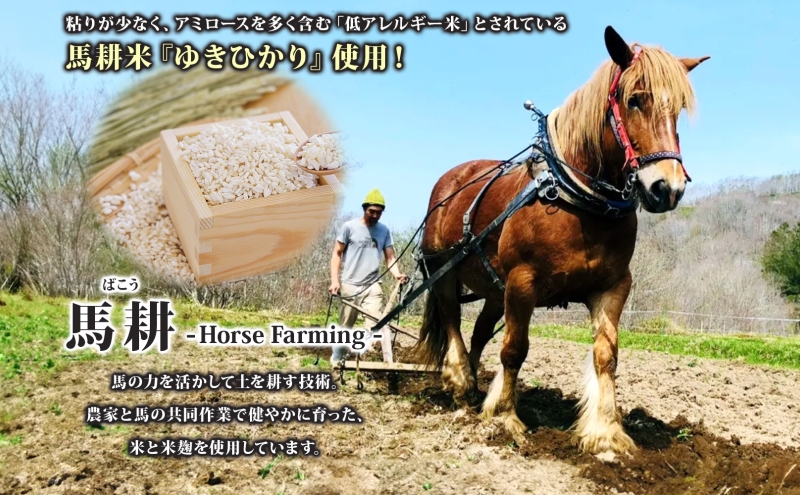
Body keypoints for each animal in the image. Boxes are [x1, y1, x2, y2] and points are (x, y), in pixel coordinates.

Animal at [412, 25, 709, 456]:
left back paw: (475, 390)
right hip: (443, 269)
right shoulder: (522, 281)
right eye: (635, 99)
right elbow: (515, 349)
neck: (579, 201)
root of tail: (453, 178)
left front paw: (605, 431)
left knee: (480, 332)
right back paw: (459, 377)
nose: (666, 188)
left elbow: (606, 354)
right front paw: (507, 417)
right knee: (452, 316)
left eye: (679, 108)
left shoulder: (612, 286)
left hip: (493, 288)